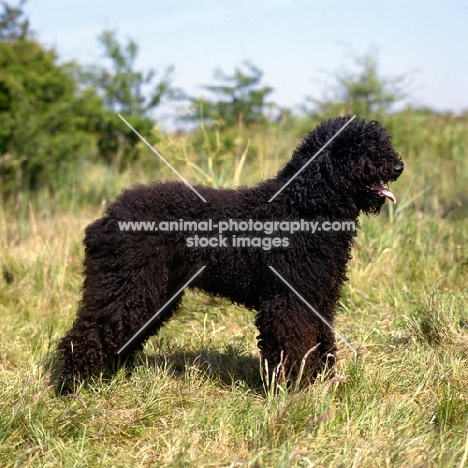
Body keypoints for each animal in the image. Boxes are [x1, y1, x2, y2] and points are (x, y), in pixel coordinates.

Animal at [56, 116, 404, 392]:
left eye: (382, 142)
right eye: (357, 150)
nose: (398, 165)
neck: (305, 205)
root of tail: (107, 217)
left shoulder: (320, 297)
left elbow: (321, 341)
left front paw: (321, 380)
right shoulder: (287, 300)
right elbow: (293, 345)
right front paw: (292, 389)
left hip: (153, 291)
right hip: (125, 285)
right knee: (88, 331)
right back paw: (70, 387)